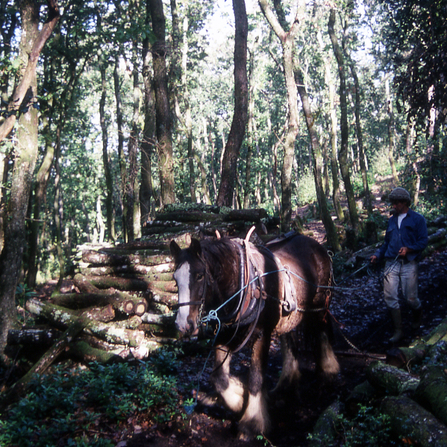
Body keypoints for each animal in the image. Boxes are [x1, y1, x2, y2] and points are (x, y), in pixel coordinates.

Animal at [170, 231, 342, 440]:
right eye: (175, 279)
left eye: (199, 275)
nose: (182, 324)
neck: (243, 287)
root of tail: (316, 245)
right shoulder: (224, 334)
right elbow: (218, 378)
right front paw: (238, 399)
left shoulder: (262, 334)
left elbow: (255, 379)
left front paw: (252, 422)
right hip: (289, 315)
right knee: (289, 341)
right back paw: (285, 387)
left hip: (320, 305)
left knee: (322, 331)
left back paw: (328, 372)